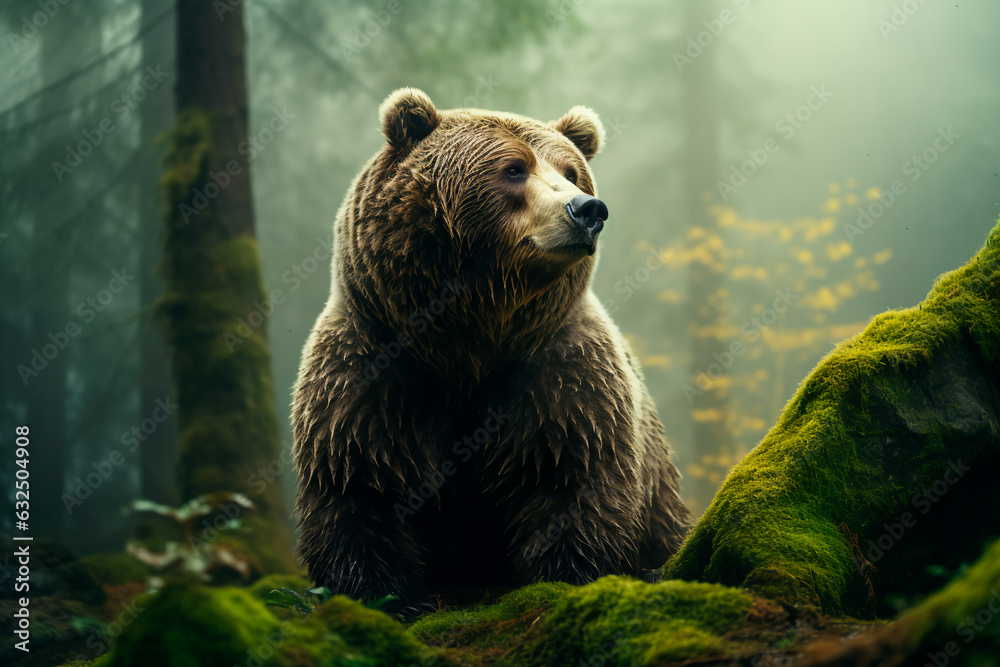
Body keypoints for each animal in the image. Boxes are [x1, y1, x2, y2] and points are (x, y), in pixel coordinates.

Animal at [291, 88, 691, 603]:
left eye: (571, 171)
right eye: (514, 168)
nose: (588, 210)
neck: (472, 334)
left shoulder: (557, 369)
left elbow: (571, 474)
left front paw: (565, 574)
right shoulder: (374, 363)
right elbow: (358, 482)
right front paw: (384, 594)